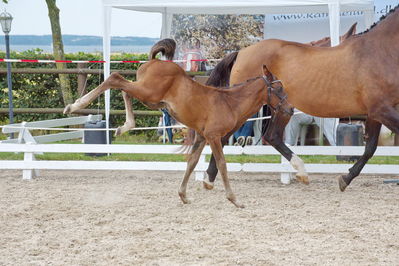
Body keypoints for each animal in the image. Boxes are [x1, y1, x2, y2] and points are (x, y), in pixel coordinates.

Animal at [63, 43, 294, 207]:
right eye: (279, 88)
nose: (290, 109)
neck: (229, 102)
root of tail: (155, 61)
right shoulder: (214, 137)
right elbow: (222, 164)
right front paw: (235, 199)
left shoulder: (201, 137)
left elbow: (192, 162)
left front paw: (183, 195)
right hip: (148, 93)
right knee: (115, 78)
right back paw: (75, 105)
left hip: (151, 98)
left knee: (124, 89)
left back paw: (125, 125)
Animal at [209, 6, 399, 191]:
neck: (379, 52)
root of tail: (242, 52)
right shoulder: (381, 110)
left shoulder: (376, 113)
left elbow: (370, 147)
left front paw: (346, 178)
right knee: (224, 137)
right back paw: (209, 179)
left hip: (282, 108)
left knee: (272, 136)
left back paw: (300, 171)